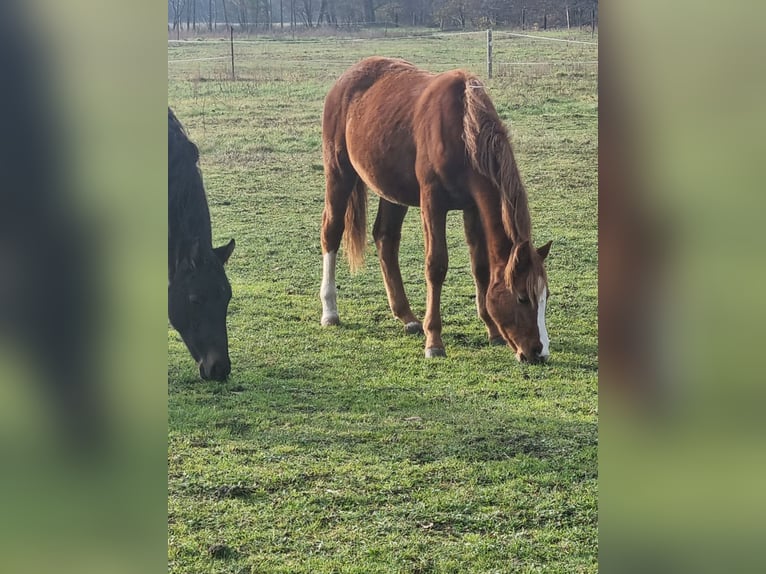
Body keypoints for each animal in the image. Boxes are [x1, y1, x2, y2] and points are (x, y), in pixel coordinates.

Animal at [320, 58, 556, 364]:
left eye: (545, 296)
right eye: (522, 298)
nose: (539, 352)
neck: (463, 129)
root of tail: (347, 77)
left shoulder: (473, 207)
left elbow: (480, 267)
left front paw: (491, 331)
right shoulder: (433, 202)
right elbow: (436, 266)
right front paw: (434, 341)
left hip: (392, 191)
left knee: (385, 238)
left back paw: (407, 317)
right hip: (339, 171)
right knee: (332, 232)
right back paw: (330, 312)